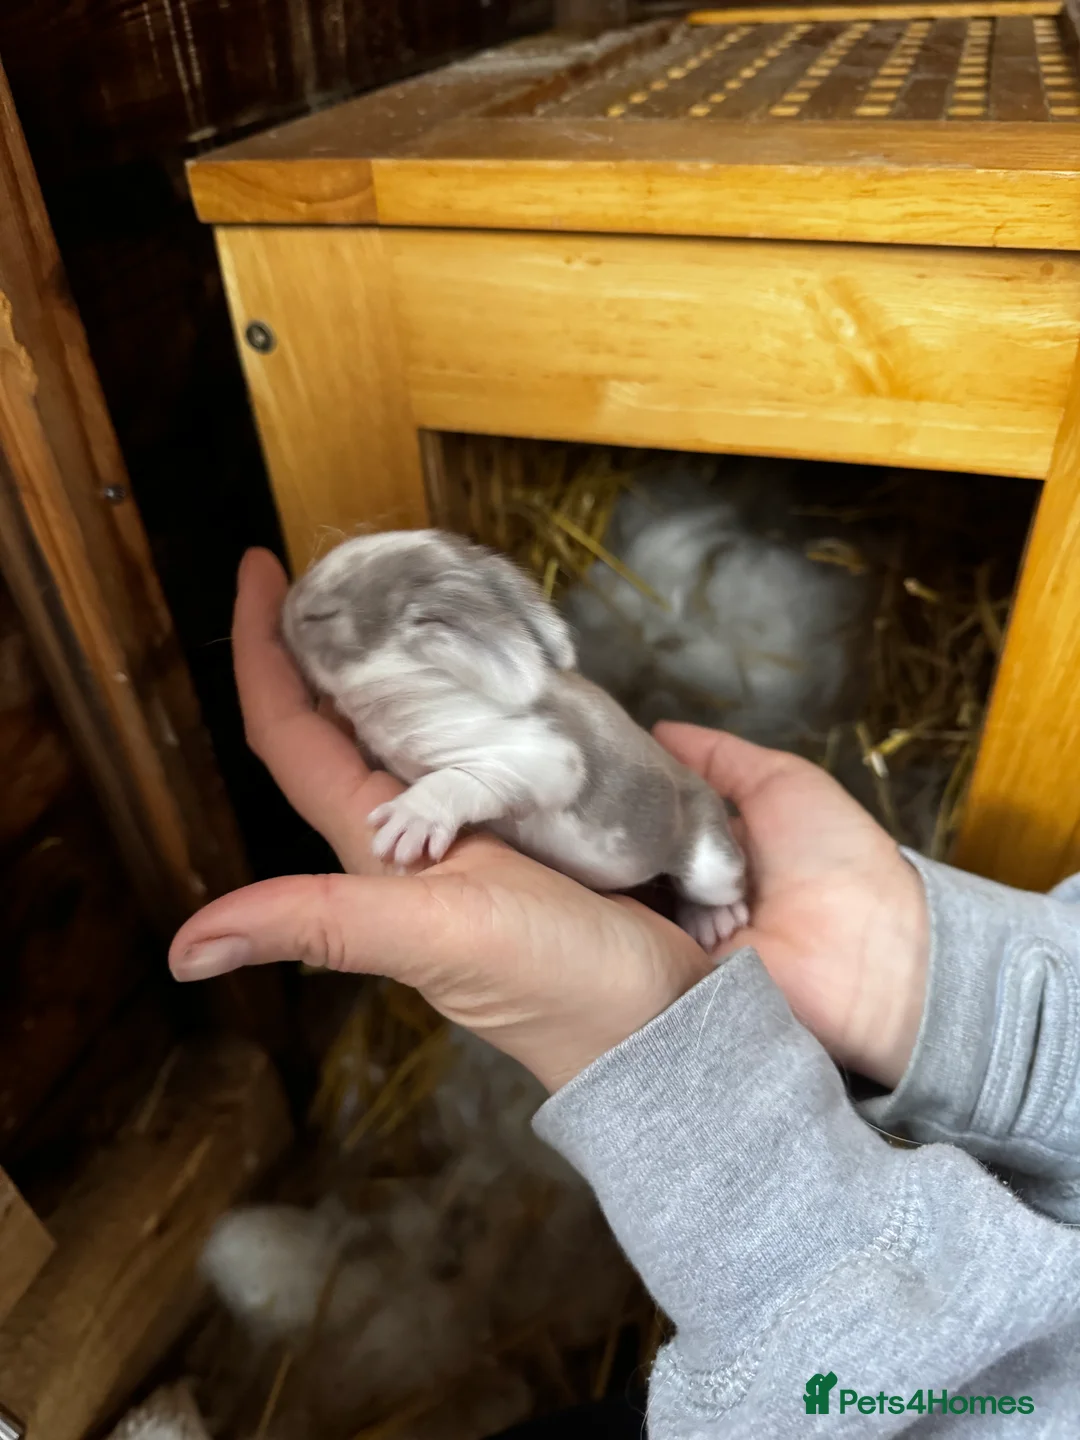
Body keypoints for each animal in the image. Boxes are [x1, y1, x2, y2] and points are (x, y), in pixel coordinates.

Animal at [282, 529, 748, 951]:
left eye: (320, 616)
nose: (285, 606)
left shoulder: (542, 757)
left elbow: (461, 779)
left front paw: (412, 818)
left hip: (712, 864)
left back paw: (715, 919)